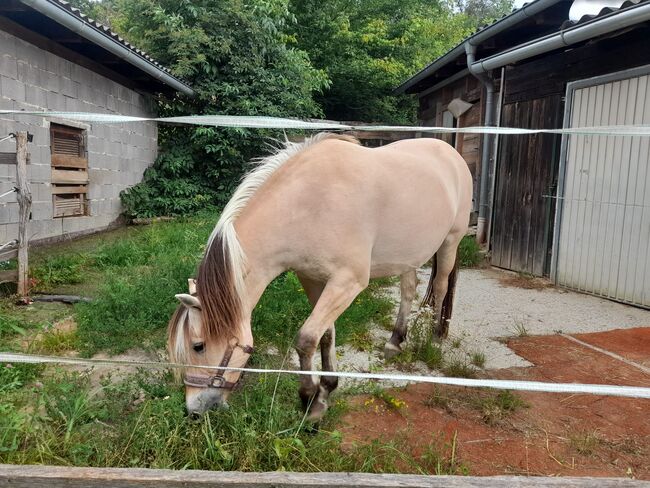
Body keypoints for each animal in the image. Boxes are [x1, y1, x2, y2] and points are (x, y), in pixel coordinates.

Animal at [167, 133, 470, 420]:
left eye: (198, 346)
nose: (193, 411)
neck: (309, 203)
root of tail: (451, 152)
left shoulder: (347, 283)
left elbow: (306, 340)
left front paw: (310, 402)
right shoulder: (313, 280)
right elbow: (325, 335)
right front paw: (327, 388)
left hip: (450, 243)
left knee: (441, 287)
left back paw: (435, 338)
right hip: (407, 258)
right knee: (408, 291)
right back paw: (395, 341)